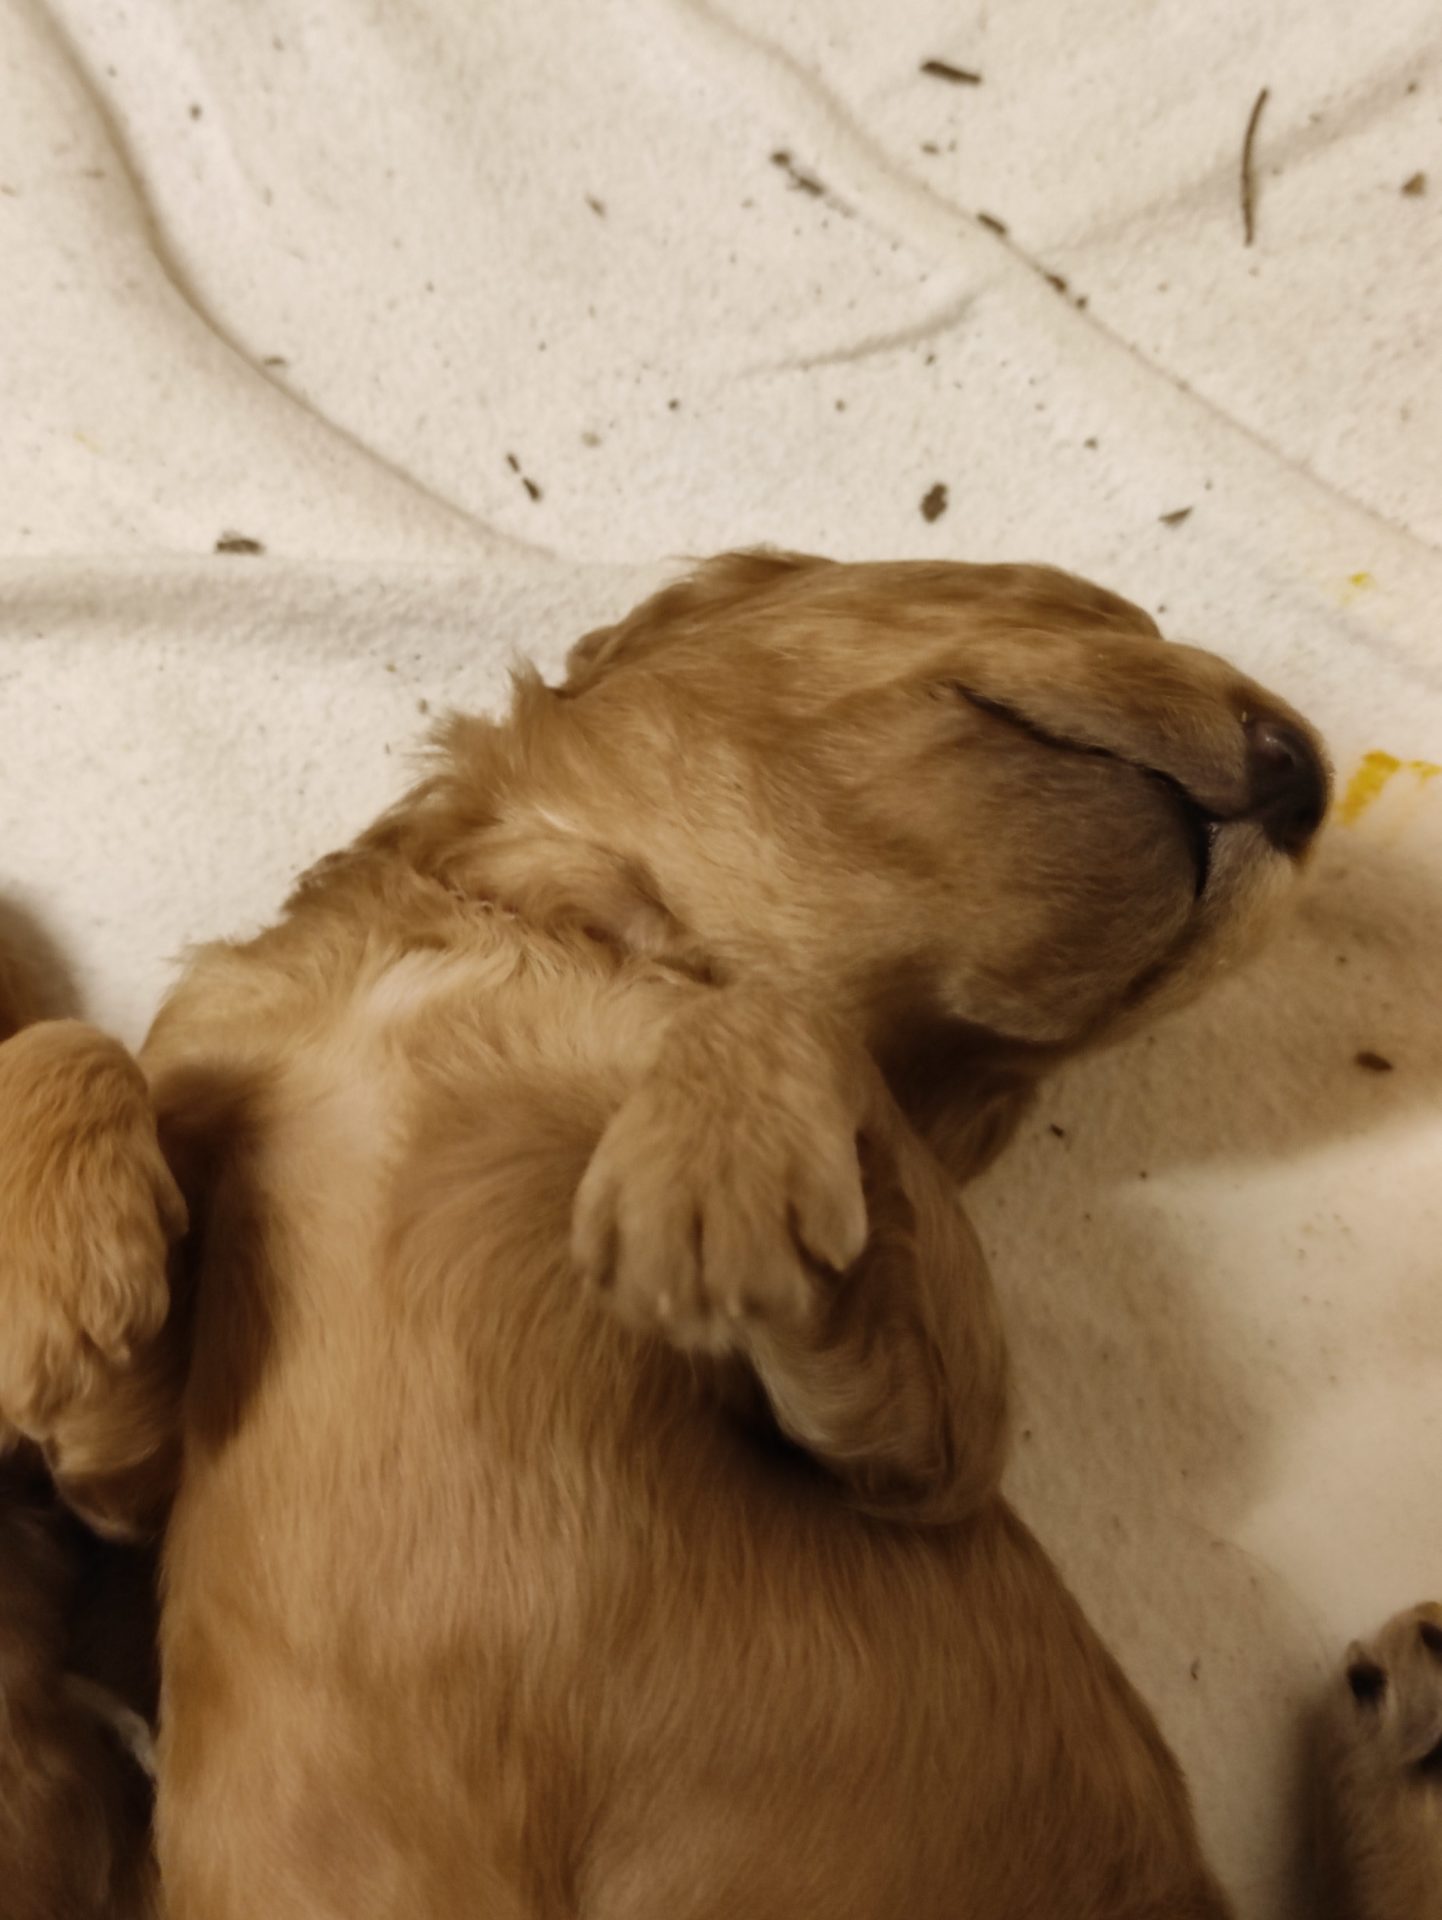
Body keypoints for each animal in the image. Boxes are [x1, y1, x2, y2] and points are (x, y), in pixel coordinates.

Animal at [0, 552, 1428, 1916]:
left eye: (1056, 1056)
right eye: (1097, 606)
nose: (1304, 775)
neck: (551, 938)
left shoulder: (943, 1445)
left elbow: (783, 1023)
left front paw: (712, 1160)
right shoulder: (133, 1478)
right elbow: (69, 1050)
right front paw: (48, 1280)